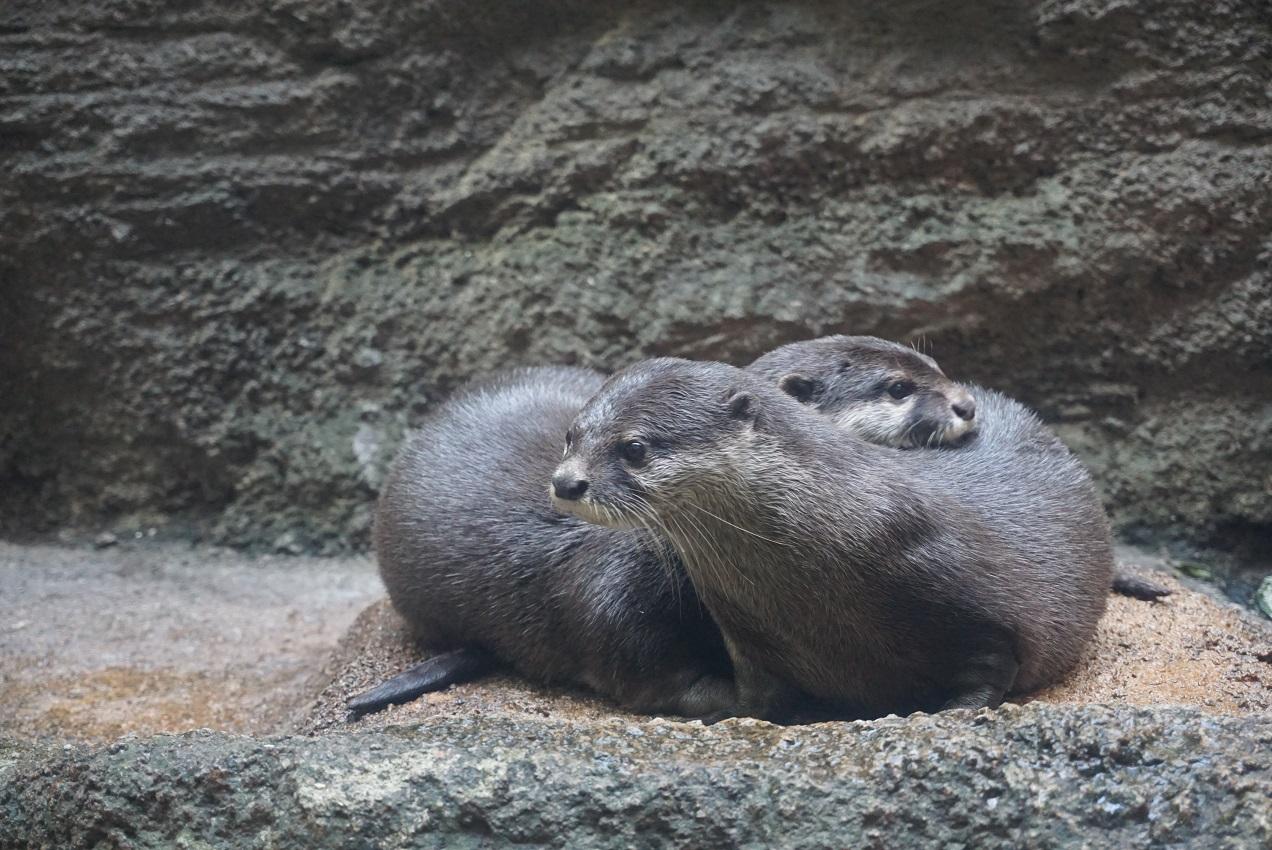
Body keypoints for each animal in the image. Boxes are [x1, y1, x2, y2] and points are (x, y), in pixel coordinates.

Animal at [554, 356, 1114, 722]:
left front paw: (949, 715)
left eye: (634, 447)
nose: (566, 482)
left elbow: (990, 664)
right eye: (571, 435)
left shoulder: (978, 607)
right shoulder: (748, 636)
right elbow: (758, 699)